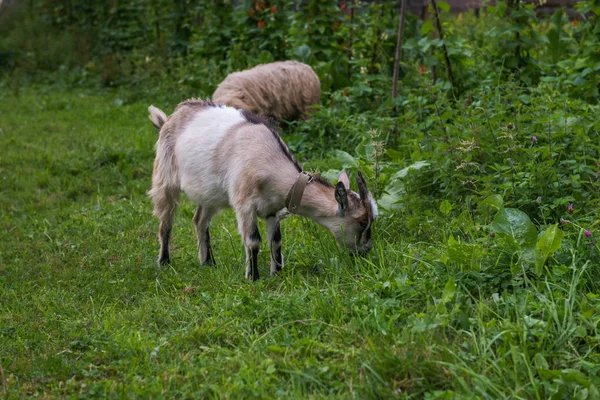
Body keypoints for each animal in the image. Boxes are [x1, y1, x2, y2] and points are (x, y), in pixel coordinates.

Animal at [148, 100, 378, 282]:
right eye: (362, 222)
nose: (365, 251)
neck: (269, 161)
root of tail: (171, 117)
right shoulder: (245, 205)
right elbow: (253, 241)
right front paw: (253, 277)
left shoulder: (272, 209)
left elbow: (276, 241)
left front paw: (278, 272)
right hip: (165, 177)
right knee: (166, 222)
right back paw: (164, 261)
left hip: (210, 193)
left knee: (200, 220)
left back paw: (207, 262)